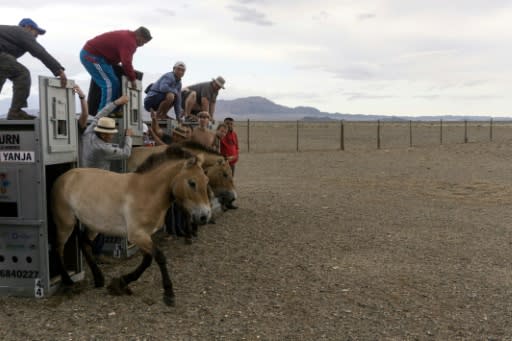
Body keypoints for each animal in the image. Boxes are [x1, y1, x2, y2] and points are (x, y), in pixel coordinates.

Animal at [51, 145, 211, 304]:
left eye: (207, 180)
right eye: (192, 183)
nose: (205, 216)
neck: (146, 191)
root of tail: (65, 176)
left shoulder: (145, 235)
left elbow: (147, 260)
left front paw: (120, 283)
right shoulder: (137, 235)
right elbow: (160, 257)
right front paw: (169, 293)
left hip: (94, 224)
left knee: (84, 242)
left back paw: (98, 278)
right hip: (66, 223)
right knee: (58, 247)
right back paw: (68, 281)